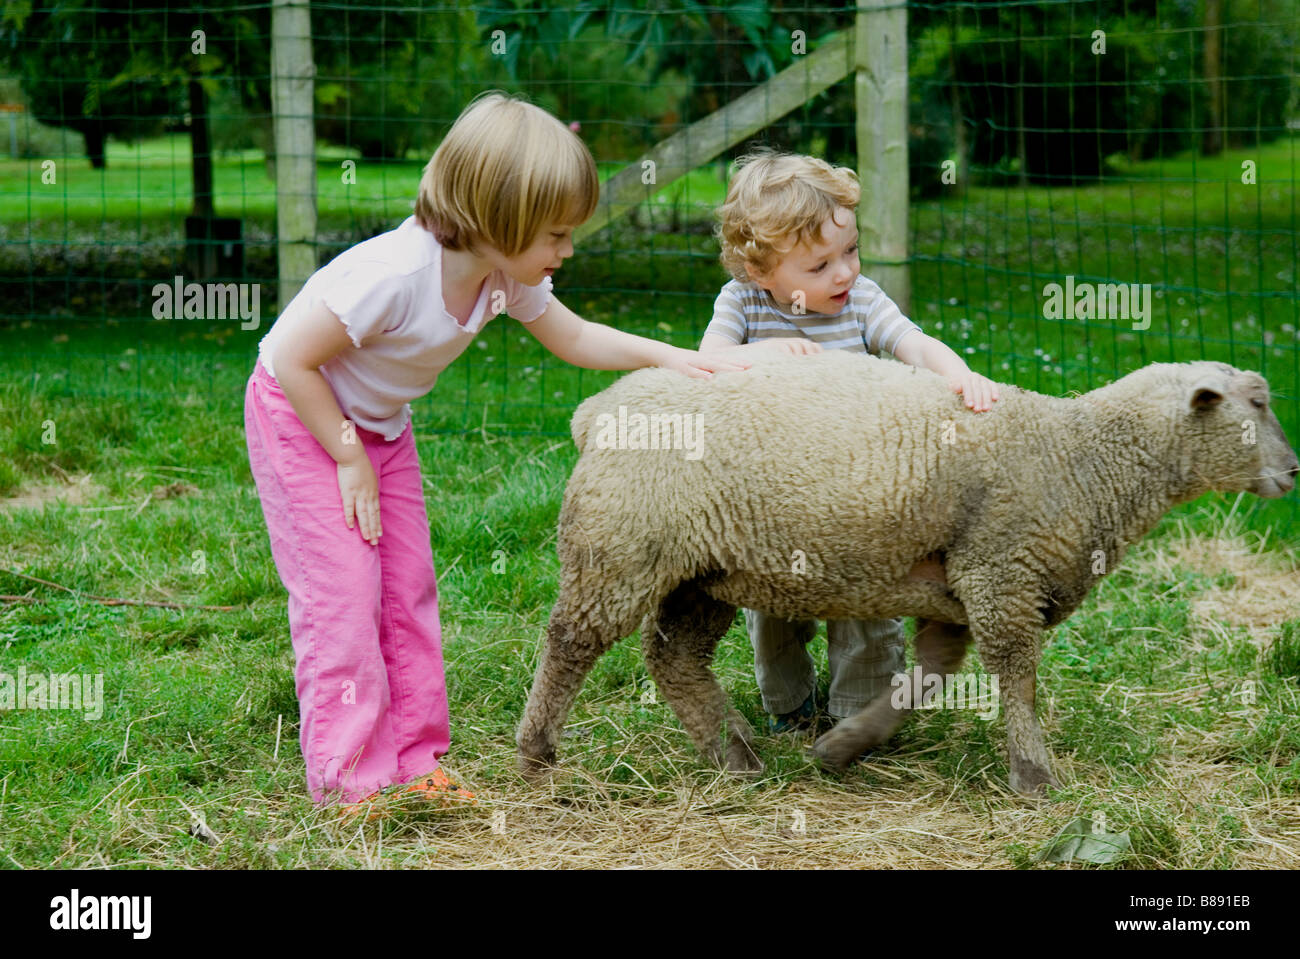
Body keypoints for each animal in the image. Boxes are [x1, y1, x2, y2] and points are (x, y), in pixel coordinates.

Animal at [512, 350, 1294, 790]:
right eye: (1255, 405)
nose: (1294, 471)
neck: (1081, 455)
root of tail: (597, 409)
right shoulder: (1002, 574)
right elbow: (1016, 677)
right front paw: (1035, 776)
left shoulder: (962, 590)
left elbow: (927, 680)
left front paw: (842, 746)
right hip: (618, 548)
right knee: (570, 642)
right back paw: (538, 753)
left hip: (700, 569)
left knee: (672, 657)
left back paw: (734, 754)